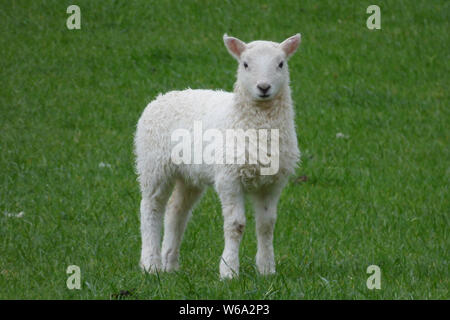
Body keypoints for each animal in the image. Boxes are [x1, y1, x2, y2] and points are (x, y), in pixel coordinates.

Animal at [134, 33, 302, 278]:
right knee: (151, 208)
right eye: (245, 64)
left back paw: (170, 264)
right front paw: (229, 270)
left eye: (281, 64)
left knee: (176, 211)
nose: (263, 87)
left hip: (189, 175)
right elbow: (236, 225)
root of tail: (162, 96)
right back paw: (150, 264)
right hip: (153, 163)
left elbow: (266, 225)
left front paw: (266, 269)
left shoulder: (272, 182)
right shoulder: (228, 178)